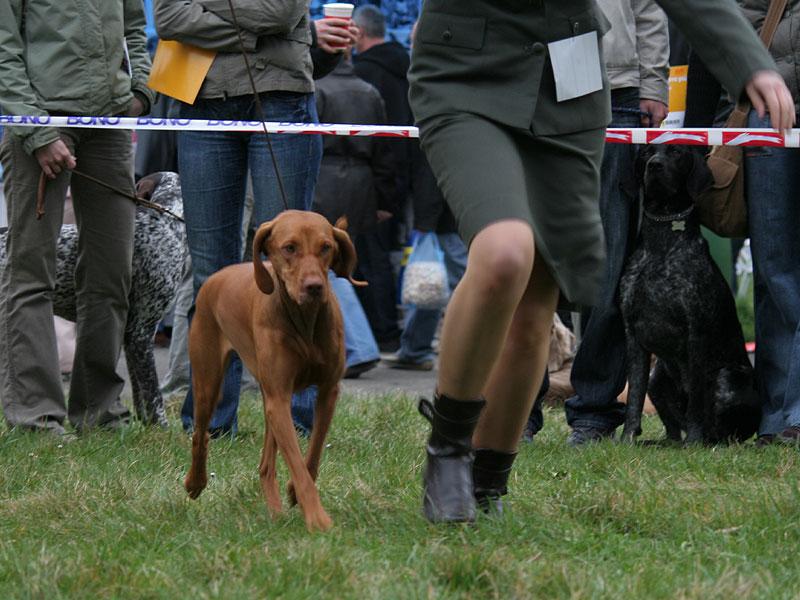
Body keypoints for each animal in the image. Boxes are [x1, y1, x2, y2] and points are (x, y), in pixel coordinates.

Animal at [0, 171, 186, 428]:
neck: (164, 224)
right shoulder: (141, 332)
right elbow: (154, 395)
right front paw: (162, 428)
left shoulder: (131, 335)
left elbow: (140, 395)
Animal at [184, 210, 362, 528]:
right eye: (289, 248)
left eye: (326, 247)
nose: (314, 287)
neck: (304, 322)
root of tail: (217, 275)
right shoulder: (279, 398)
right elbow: (298, 465)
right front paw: (317, 519)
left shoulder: (326, 392)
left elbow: (312, 454)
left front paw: (294, 493)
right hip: (208, 383)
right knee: (200, 435)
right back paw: (196, 482)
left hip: (268, 396)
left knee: (266, 464)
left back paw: (276, 512)